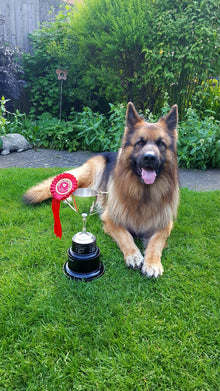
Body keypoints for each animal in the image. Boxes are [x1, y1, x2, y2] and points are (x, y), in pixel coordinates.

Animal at [23, 102, 179, 278]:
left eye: (161, 144)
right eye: (140, 142)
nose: (150, 157)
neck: (143, 194)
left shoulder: (164, 225)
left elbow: (156, 243)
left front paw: (152, 263)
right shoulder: (111, 218)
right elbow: (126, 237)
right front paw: (133, 255)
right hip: (91, 173)